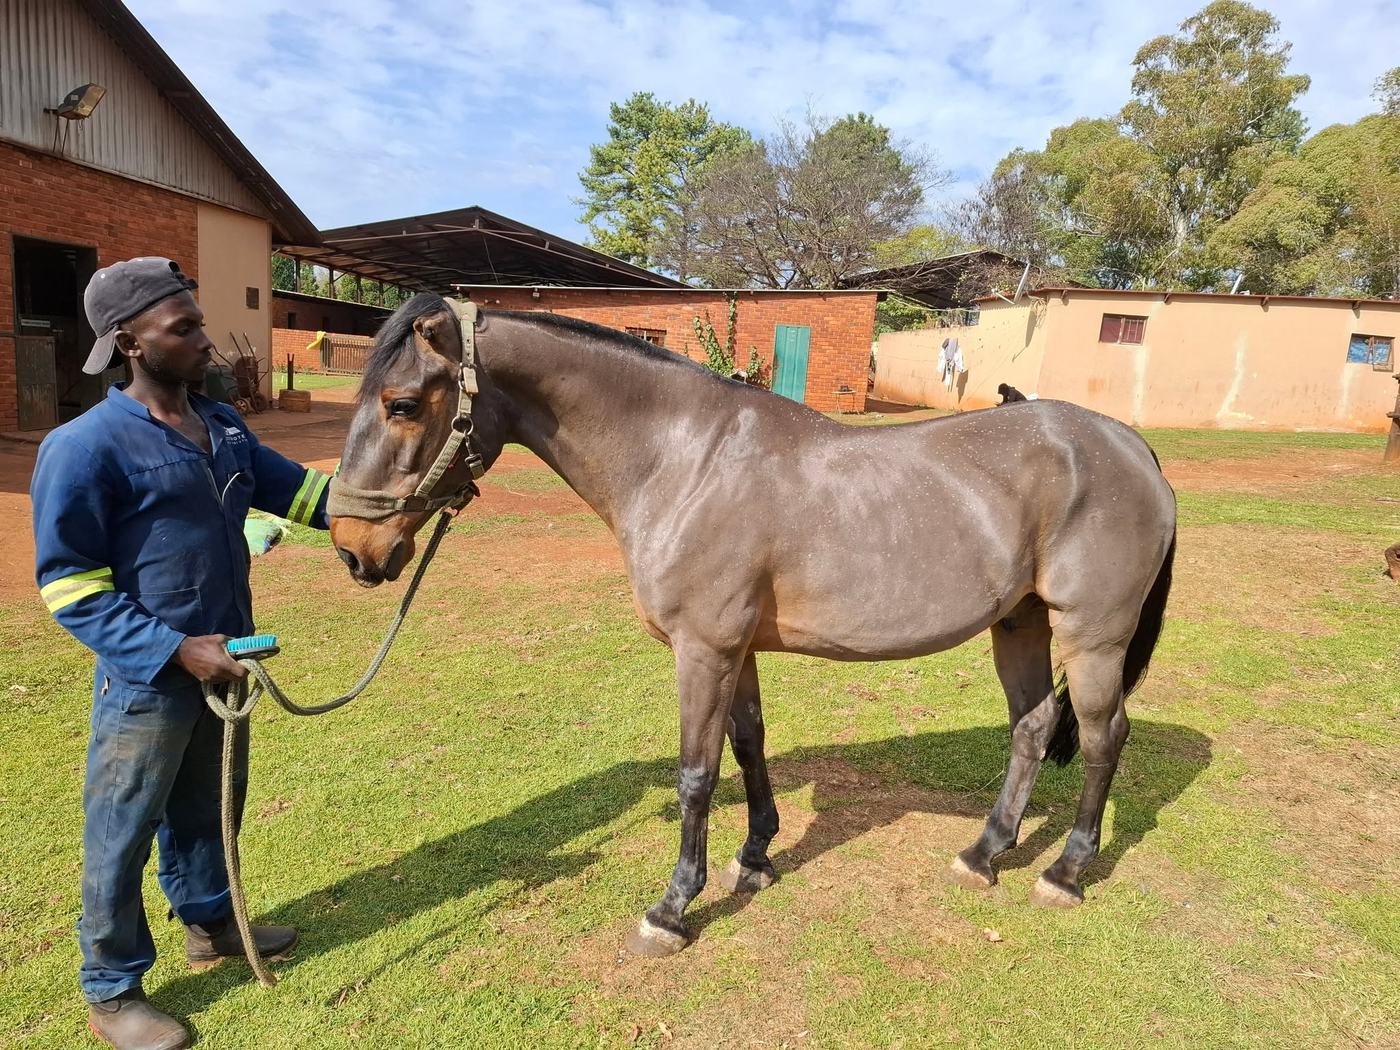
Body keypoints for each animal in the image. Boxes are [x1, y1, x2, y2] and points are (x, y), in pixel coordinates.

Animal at [328, 293, 1177, 958]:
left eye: (402, 405)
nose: (352, 548)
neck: (684, 462)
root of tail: (1130, 446)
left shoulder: (702, 650)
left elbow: (697, 773)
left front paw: (673, 907)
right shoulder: (736, 650)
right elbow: (749, 746)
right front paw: (756, 857)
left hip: (1092, 640)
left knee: (1103, 738)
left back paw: (1066, 870)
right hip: (1020, 626)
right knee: (1032, 727)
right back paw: (985, 853)